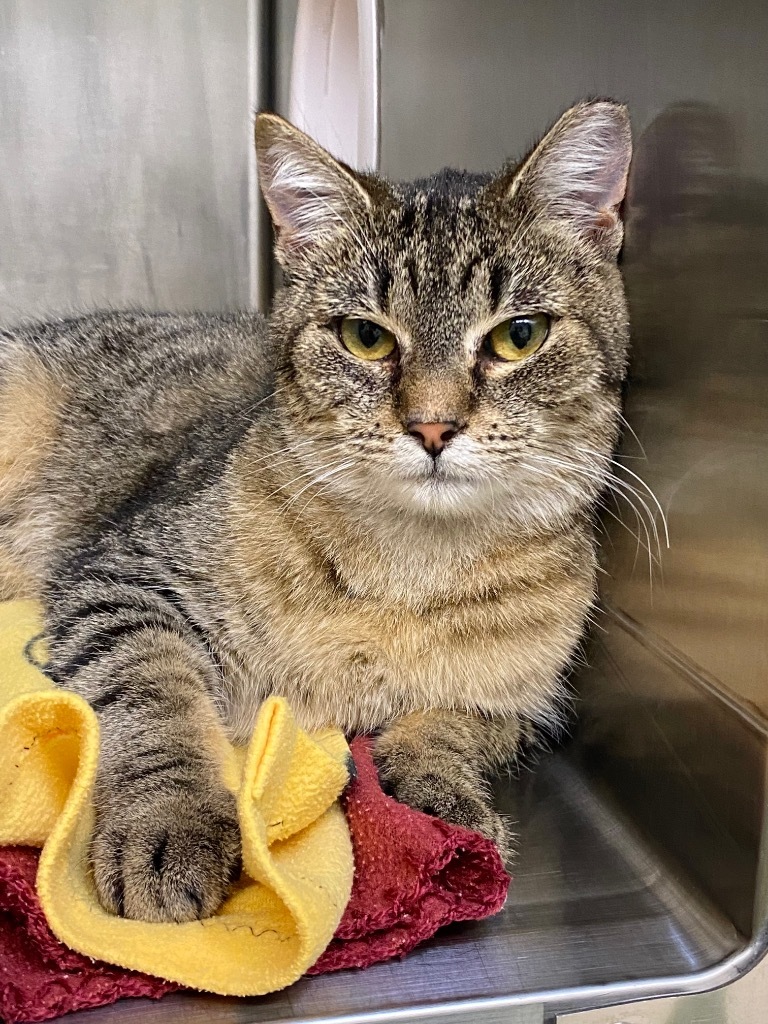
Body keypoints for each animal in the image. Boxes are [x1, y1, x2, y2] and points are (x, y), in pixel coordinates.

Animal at [0, 99, 630, 925]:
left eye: (518, 336)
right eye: (365, 337)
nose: (433, 426)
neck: (412, 571)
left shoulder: (528, 699)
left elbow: (454, 728)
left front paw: (440, 794)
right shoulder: (122, 580)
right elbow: (159, 699)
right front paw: (168, 822)